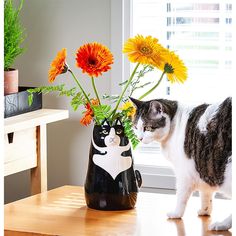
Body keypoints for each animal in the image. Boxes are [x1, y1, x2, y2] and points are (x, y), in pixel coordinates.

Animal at [130, 96, 231, 230]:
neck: (174, 123)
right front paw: (205, 211)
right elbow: (206, 194)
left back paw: (222, 225)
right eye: (136, 127)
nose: (140, 138)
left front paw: (176, 213)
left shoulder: (184, 174)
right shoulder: (203, 168)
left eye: (147, 128)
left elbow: (181, 196)